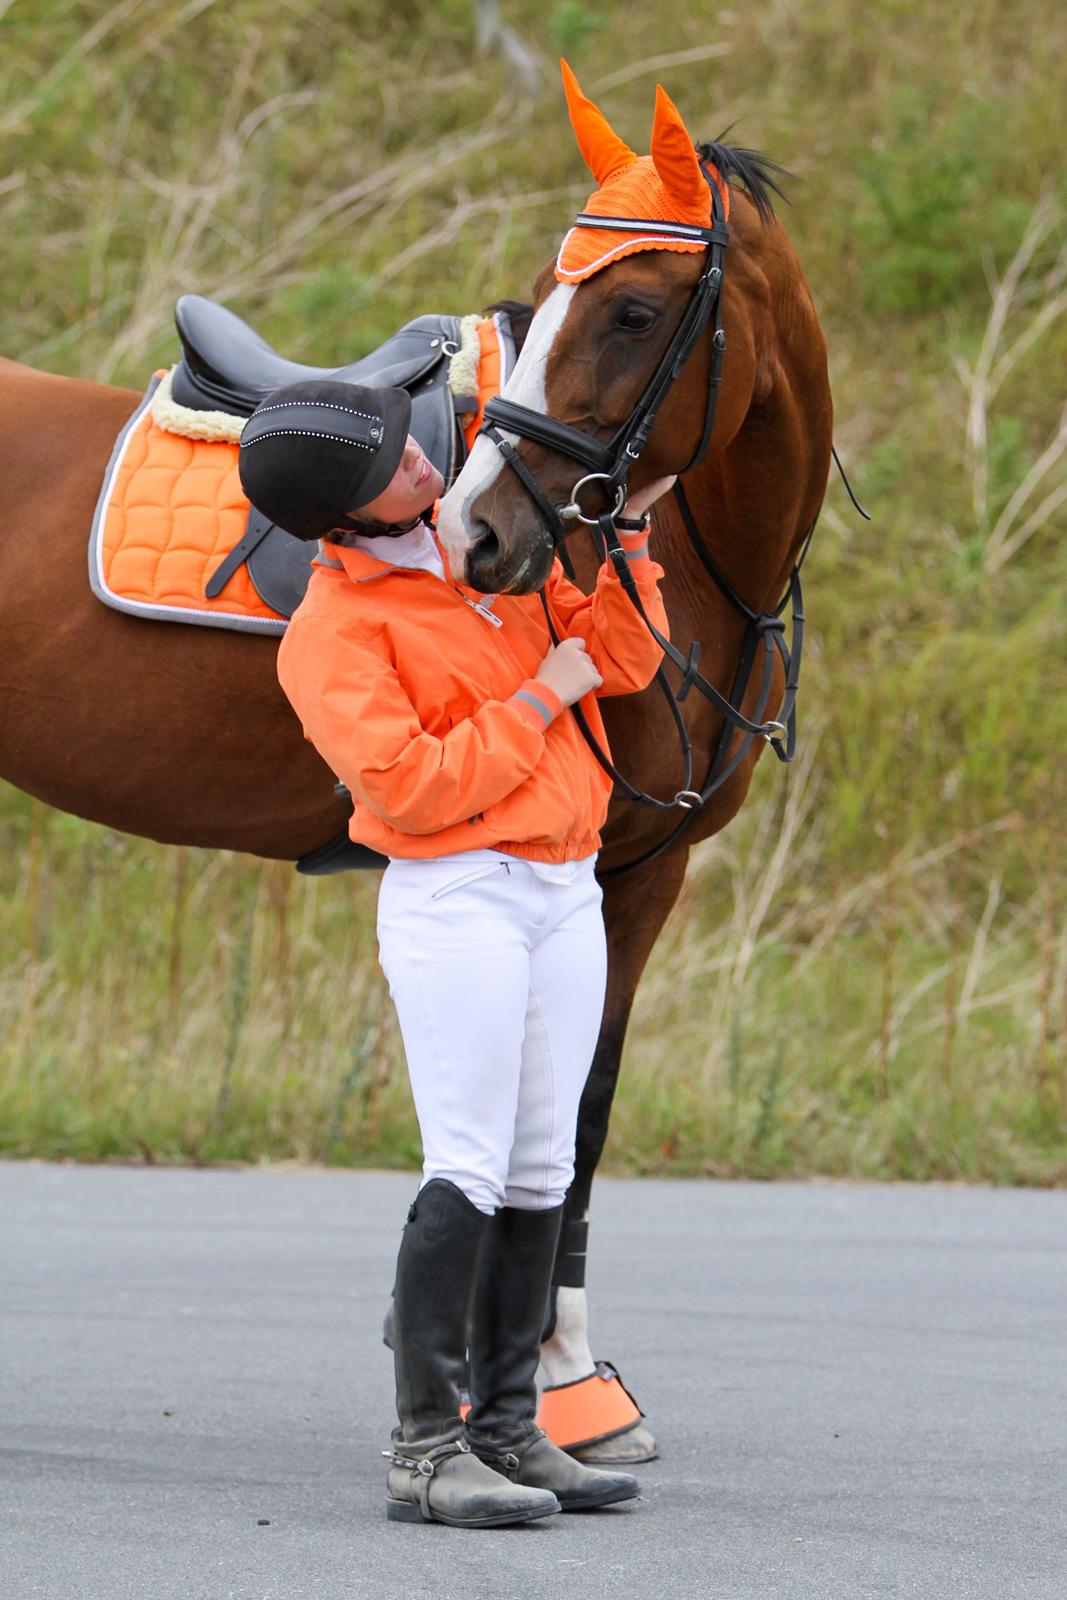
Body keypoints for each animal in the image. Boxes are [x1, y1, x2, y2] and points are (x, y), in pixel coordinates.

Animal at [0, 65, 831, 1465]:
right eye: (554, 297)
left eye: (631, 308)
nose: (480, 534)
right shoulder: (585, 866)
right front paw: (538, 1385)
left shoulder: (644, 875)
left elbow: (584, 1111)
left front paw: (564, 1380)